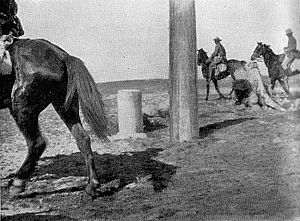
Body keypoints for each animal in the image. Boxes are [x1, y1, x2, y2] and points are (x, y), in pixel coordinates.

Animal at [0, 38, 110, 197]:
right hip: (65, 106)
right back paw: (92, 185)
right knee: (82, 138)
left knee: (37, 143)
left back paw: (17, 183)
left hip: (20, 107)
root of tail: (63, 56)